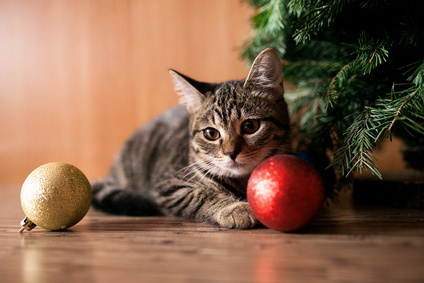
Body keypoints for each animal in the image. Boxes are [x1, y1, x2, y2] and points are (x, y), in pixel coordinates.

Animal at [92, 47, 292, 230]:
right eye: (211, 133)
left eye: (250, 126)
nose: (231, 153)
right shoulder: (169, 186)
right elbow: (200, 195)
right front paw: (235, 209)